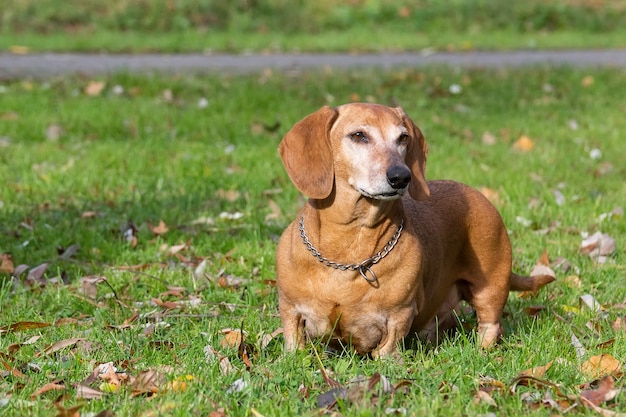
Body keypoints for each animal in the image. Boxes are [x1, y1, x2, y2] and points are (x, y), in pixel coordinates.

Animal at [272, 102, 552, 356]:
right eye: (358, 135)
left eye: (403, 137)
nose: (401, 176)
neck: (349, 245)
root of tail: (480, 195)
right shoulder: (290, 308)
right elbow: (294, 340)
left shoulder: (400, 314)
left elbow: (387, 347)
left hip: (490, 286)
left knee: (491, 324)